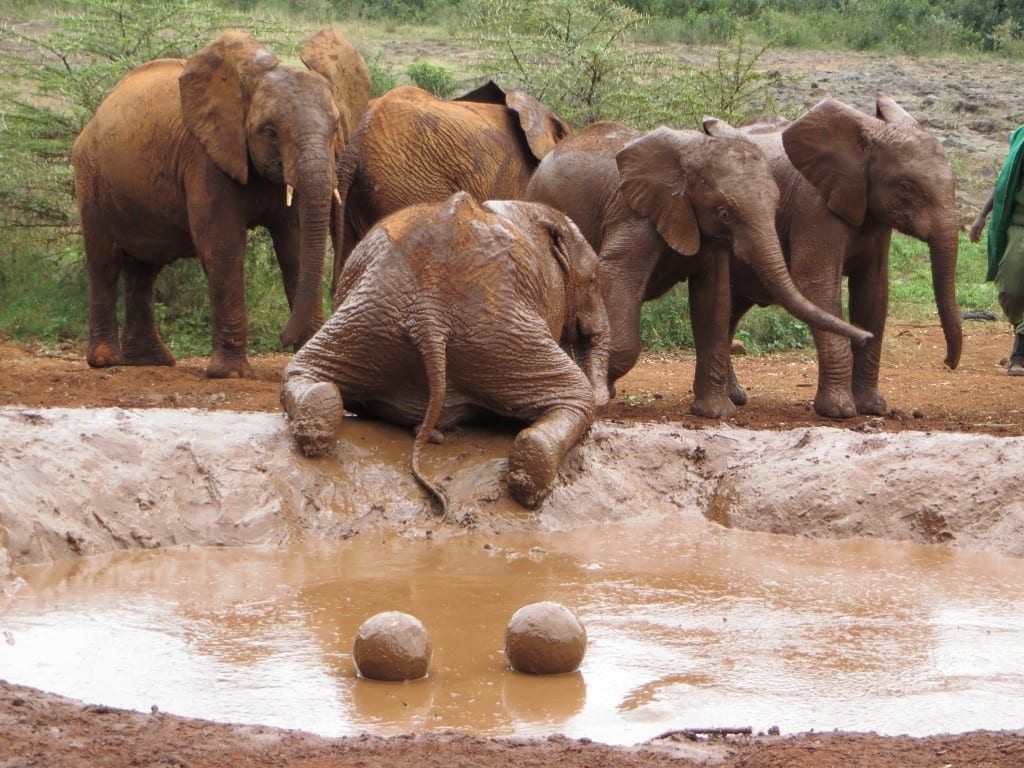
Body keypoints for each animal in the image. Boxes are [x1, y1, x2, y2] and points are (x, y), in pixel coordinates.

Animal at [72, 28, 371, 378]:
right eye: (270, 132)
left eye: (336, 128)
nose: (282, 336)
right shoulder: (206, 157)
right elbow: (223, 246)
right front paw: (231, 374)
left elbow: (296, 247)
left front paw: (309, 365)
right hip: (90, 174)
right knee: (104, 261)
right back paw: (106, 360)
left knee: (145, 267)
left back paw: (151, 360)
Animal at [281, 191, 609, 513]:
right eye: (594, 280)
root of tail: (429, 312)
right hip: (497, 326)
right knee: (578, 394)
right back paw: (530, 488)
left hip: (370, 316)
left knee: (306, 370)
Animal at [524, 120, 873, 419]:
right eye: (725, 212)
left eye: (776, 207)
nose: (867, 335)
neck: (692, 153)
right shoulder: (634, 214)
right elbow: (615, 279)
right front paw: (599, 392)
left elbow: (713, 299)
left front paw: (715, 413)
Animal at [703, 95, 962, 418]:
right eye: (906, 187)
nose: (948, 363)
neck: (864, 141)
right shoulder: (813, 207)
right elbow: (815, 286)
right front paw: (839, 411)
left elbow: (873, 293)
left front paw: (872, 407)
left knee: (733, 308)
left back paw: (735, 397)